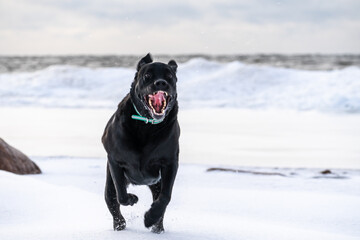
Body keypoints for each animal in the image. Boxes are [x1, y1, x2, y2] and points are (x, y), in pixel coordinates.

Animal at [101, 53, 180, 233]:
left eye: (169, 76)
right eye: (147, 76)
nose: (161, 83)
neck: (146, 125)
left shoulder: (170, 163)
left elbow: (165, 197)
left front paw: (150, 217)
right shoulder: (115, 161)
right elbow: (121, 194)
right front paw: (132, 199)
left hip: (156, 183)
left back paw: (157, 227)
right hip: (109, 183)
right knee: (112, 199)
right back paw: (120, 225)